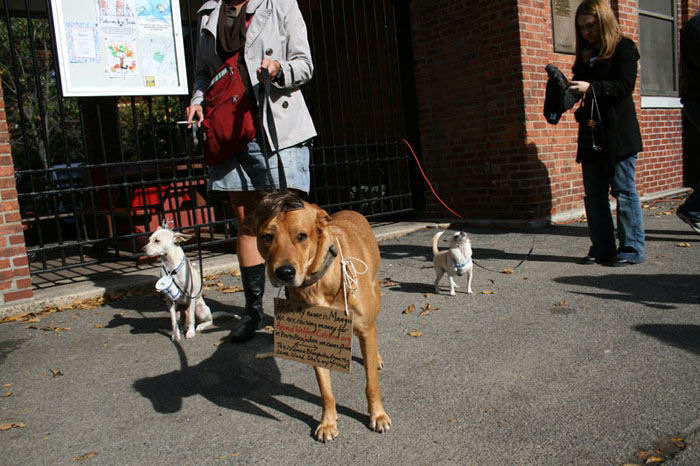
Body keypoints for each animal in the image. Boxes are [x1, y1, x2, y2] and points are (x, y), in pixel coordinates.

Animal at [249, 191, 392, 442]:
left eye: (301, 236)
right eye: (267, 236)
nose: (284, 273)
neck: (318, 284)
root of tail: (349, 210)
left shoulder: (365, 327)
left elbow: (372, 383)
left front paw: (378, 415)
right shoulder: (314, 340)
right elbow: (325, 390)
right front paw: (328, 422)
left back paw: (375, 358)